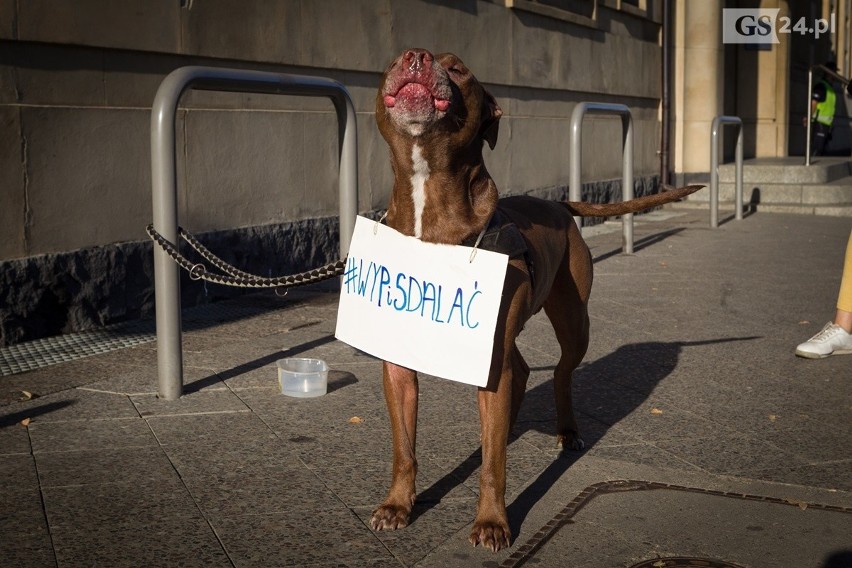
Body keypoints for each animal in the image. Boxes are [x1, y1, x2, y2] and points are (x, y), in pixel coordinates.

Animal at [370, 47, 704, 552]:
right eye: (393, 59)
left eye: (459, 69)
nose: (416, 57)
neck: (431, 211)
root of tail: (559, 205)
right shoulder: (399, 363)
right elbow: (403, 447)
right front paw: (397, 505)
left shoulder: (496, 359)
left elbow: (494, 468)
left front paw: (492, 522)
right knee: (522, 375)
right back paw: (505, 427)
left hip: (573, 321)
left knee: (562, 373)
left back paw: (565, 430)